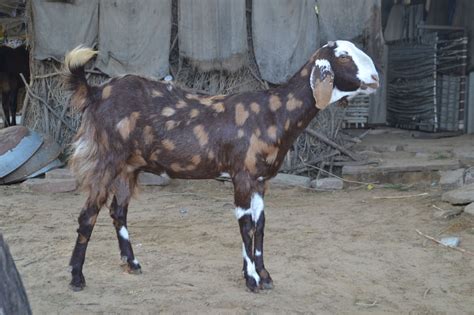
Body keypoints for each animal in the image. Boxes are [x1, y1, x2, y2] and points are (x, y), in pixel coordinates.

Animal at [65, 40, 380, 292]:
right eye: (343, 56)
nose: (376, 78)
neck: (274, 113)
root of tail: (94, 92)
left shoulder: (261, 180)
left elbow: (261, 226)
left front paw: (265, 275)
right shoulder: (242, 175)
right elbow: (246, 226)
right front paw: (252, 280)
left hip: (128, 168)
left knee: (117, 212)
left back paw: (132, 263)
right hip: (105, 160)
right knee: (87, 215)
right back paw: (77, 278)